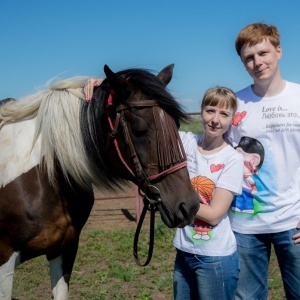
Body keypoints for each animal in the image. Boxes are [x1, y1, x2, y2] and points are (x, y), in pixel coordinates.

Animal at [0, 62, 200, 298]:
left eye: (175, 125)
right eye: (138, 131)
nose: (189, 205)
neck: (45, 177)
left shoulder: (65, 249)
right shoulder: (5, 259)